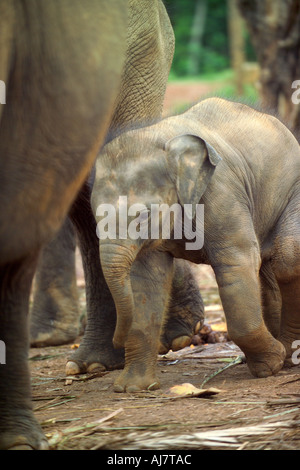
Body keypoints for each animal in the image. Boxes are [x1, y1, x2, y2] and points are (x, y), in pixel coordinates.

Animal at [92, 97, 300, 392]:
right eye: (94, 216)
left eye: (143, 216)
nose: (115, 341)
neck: (160, 140)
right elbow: (146, 281)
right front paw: (133, 388)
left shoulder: (221, 191)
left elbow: (236, 262)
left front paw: (269, 366)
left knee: (287, 260)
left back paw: (289, 355)